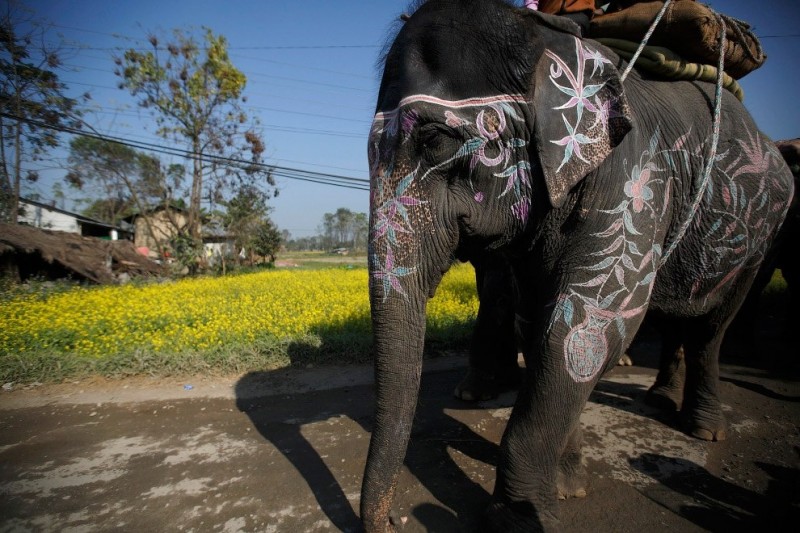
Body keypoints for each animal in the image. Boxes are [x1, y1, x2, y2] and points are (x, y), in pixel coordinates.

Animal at [360, 2, 792, 528]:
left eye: (435, 140)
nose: (393, 520)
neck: (546, 39)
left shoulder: (634, 176)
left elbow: (584, 324)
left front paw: (520, 519)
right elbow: (537, 322)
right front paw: (568, 486)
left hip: (760, 237)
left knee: (712, 326)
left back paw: (704, 430)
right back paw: (661, 398)